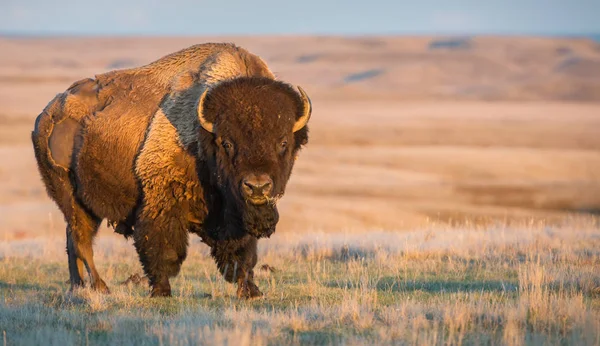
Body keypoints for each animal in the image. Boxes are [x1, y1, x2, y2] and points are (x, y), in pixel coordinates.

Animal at [31, 43, 314, 298]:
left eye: (283, 143)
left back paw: (77, 287)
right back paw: (101, 287)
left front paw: (251, 292)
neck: (203, 136)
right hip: (71, 197)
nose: (257, 186)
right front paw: (161, 291)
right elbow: (162, 249)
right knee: (81, 241)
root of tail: (47, 115)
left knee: (73, 241)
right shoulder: (162, 202)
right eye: (227, 143)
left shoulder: (236, 217)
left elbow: (243, 255)